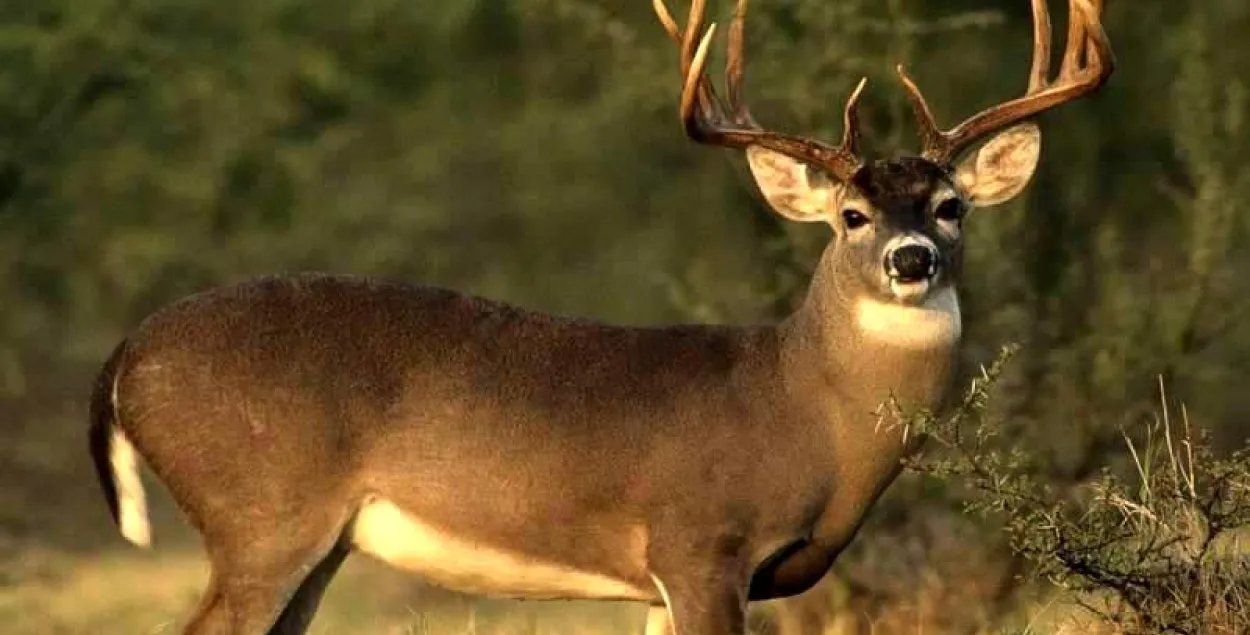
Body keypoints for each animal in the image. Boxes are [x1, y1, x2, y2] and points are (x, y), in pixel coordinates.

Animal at [88, 1, 1115, 635]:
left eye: (950, 205)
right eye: (852, 215)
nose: (912, 259)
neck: (803, 410)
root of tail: (123, 357)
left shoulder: (662, 578)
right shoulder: (701, 542)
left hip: (311, 542)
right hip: (262, 512)